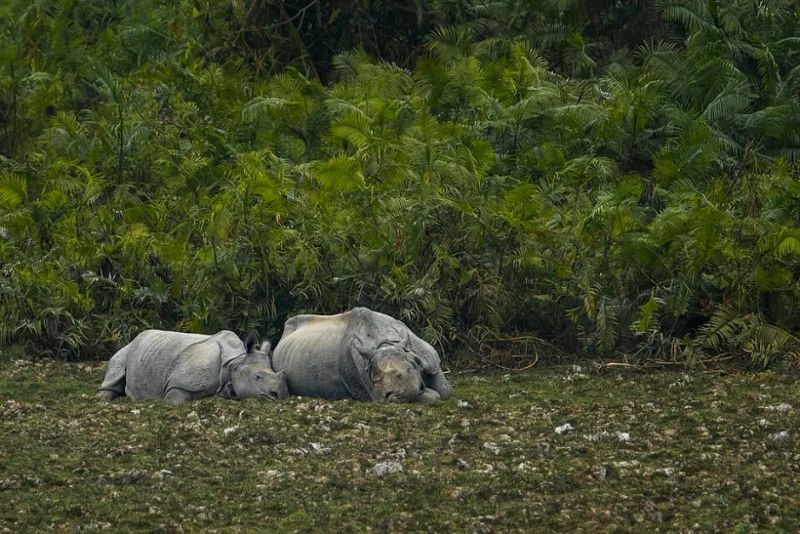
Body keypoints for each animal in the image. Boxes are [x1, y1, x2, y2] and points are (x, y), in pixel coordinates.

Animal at [97, 329, 289, 403]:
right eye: (257, 377)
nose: (280, 394)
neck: (235, 363)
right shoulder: (178, 385)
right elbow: (175, 398)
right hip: (128, 348)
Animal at [271, 307, 451, 402]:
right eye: (371, 380)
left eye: (400, 375)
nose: (385, 396)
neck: (387, 343)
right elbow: (432, 395)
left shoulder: (429, 359)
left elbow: (445, 390)